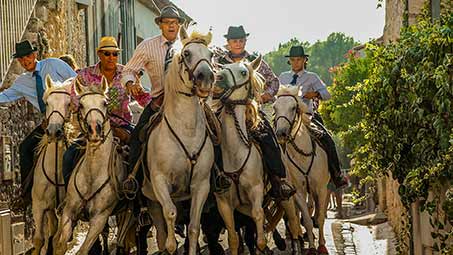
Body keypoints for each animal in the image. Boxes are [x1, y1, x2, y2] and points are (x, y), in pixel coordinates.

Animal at [53, 77, 126, 255]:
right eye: (81, 105)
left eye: (105, 103)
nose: (94, 129)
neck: (93, 174)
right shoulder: (69, 211)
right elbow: (60, 245)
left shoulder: (99, 218)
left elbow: (83, 250)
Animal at [143, 26, 215, 254]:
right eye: (187, 54)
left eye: (210, 54)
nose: (206, 78)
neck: (186, 131)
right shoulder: (160, 181)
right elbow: (171, 214)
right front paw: (171, 246)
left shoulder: (201, 185)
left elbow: (193, 226)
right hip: (151, 199)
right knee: (160, 229)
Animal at [213, 58, 302, 254]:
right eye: (223, 67)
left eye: (243, 72)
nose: (218, 79)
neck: (235, 153)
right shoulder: (224, 203)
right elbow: (233, 240)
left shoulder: (256, 193)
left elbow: (260, 238)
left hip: (286, 196)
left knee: (294, 223)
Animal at [272, 85, 328, 255]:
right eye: (275, 108)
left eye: (293, 107)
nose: (281, 133)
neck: (302, 154)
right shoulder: (298, 191)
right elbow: (307, 220)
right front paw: (311, 248)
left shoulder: (321, 189)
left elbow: (320, 217)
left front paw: (321, 246)